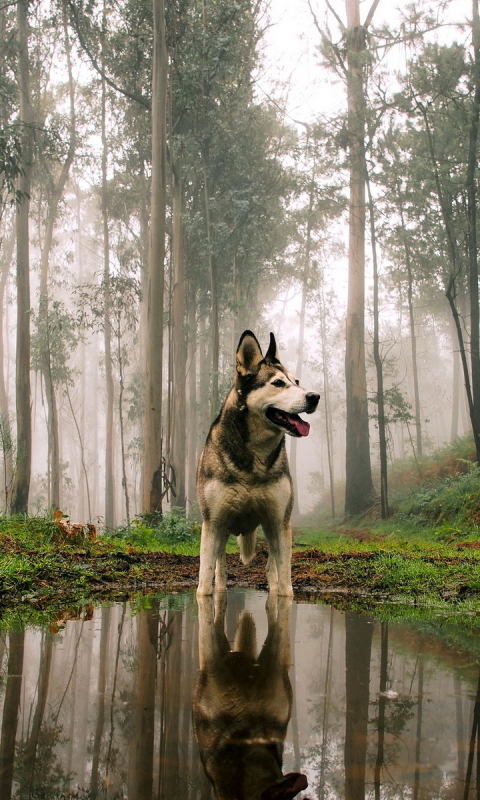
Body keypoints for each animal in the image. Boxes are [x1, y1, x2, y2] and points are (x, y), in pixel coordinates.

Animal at [197, 328, 320, 596]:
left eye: (296, 382)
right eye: (278, 383)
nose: (315, 396)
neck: (255, 457)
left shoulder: (279, 523)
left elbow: (285, 587)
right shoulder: (213, 524)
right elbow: (204, 585)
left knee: (271, 569)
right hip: (221, 533)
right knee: (220, 570)